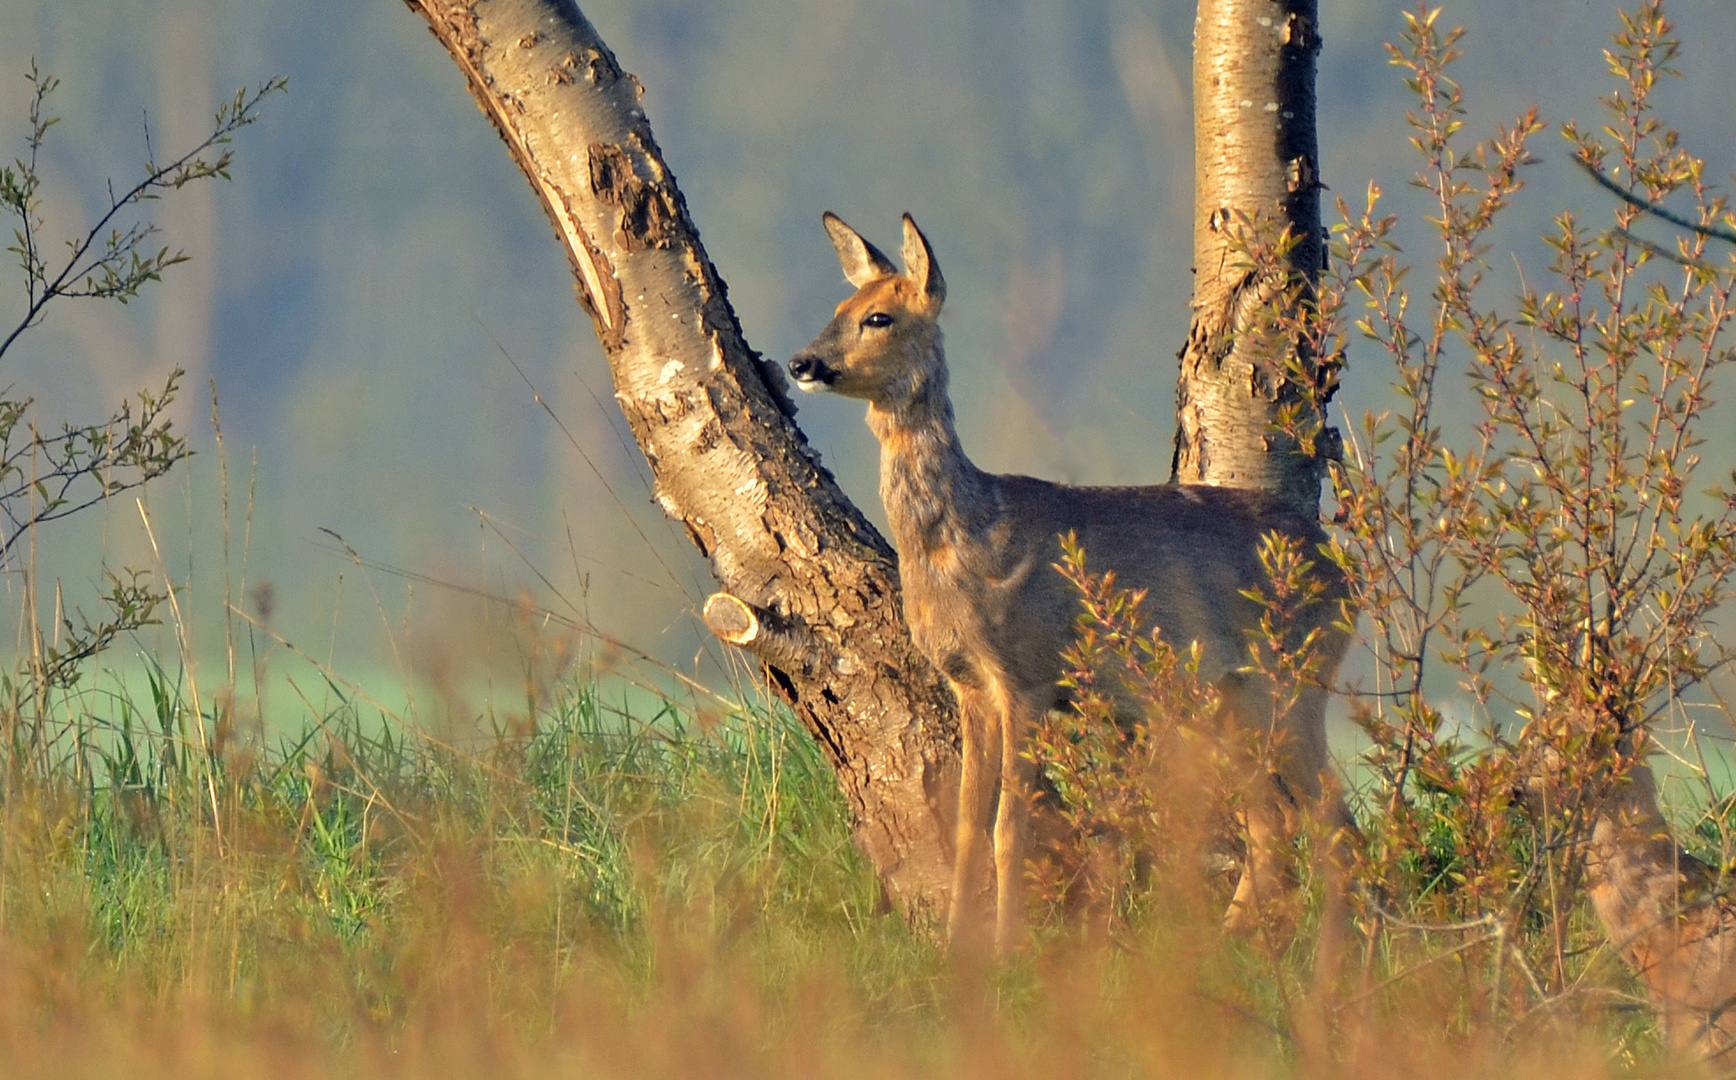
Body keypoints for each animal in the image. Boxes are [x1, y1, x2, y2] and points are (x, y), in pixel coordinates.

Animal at [791, 213, 1354, 958]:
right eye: (839, 306)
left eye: (878, 317)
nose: (801, 363)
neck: (966, 535)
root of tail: (1344, 571)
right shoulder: (970, 685)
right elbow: (967, 828)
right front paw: (955, 949)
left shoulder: (1028, 674)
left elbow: (1012, 828)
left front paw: (1007, 952)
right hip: (1228, 698)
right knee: (1275, 822)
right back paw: (1234, 949)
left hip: (1293, 678)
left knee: (1332, 821)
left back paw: (1340, 965)